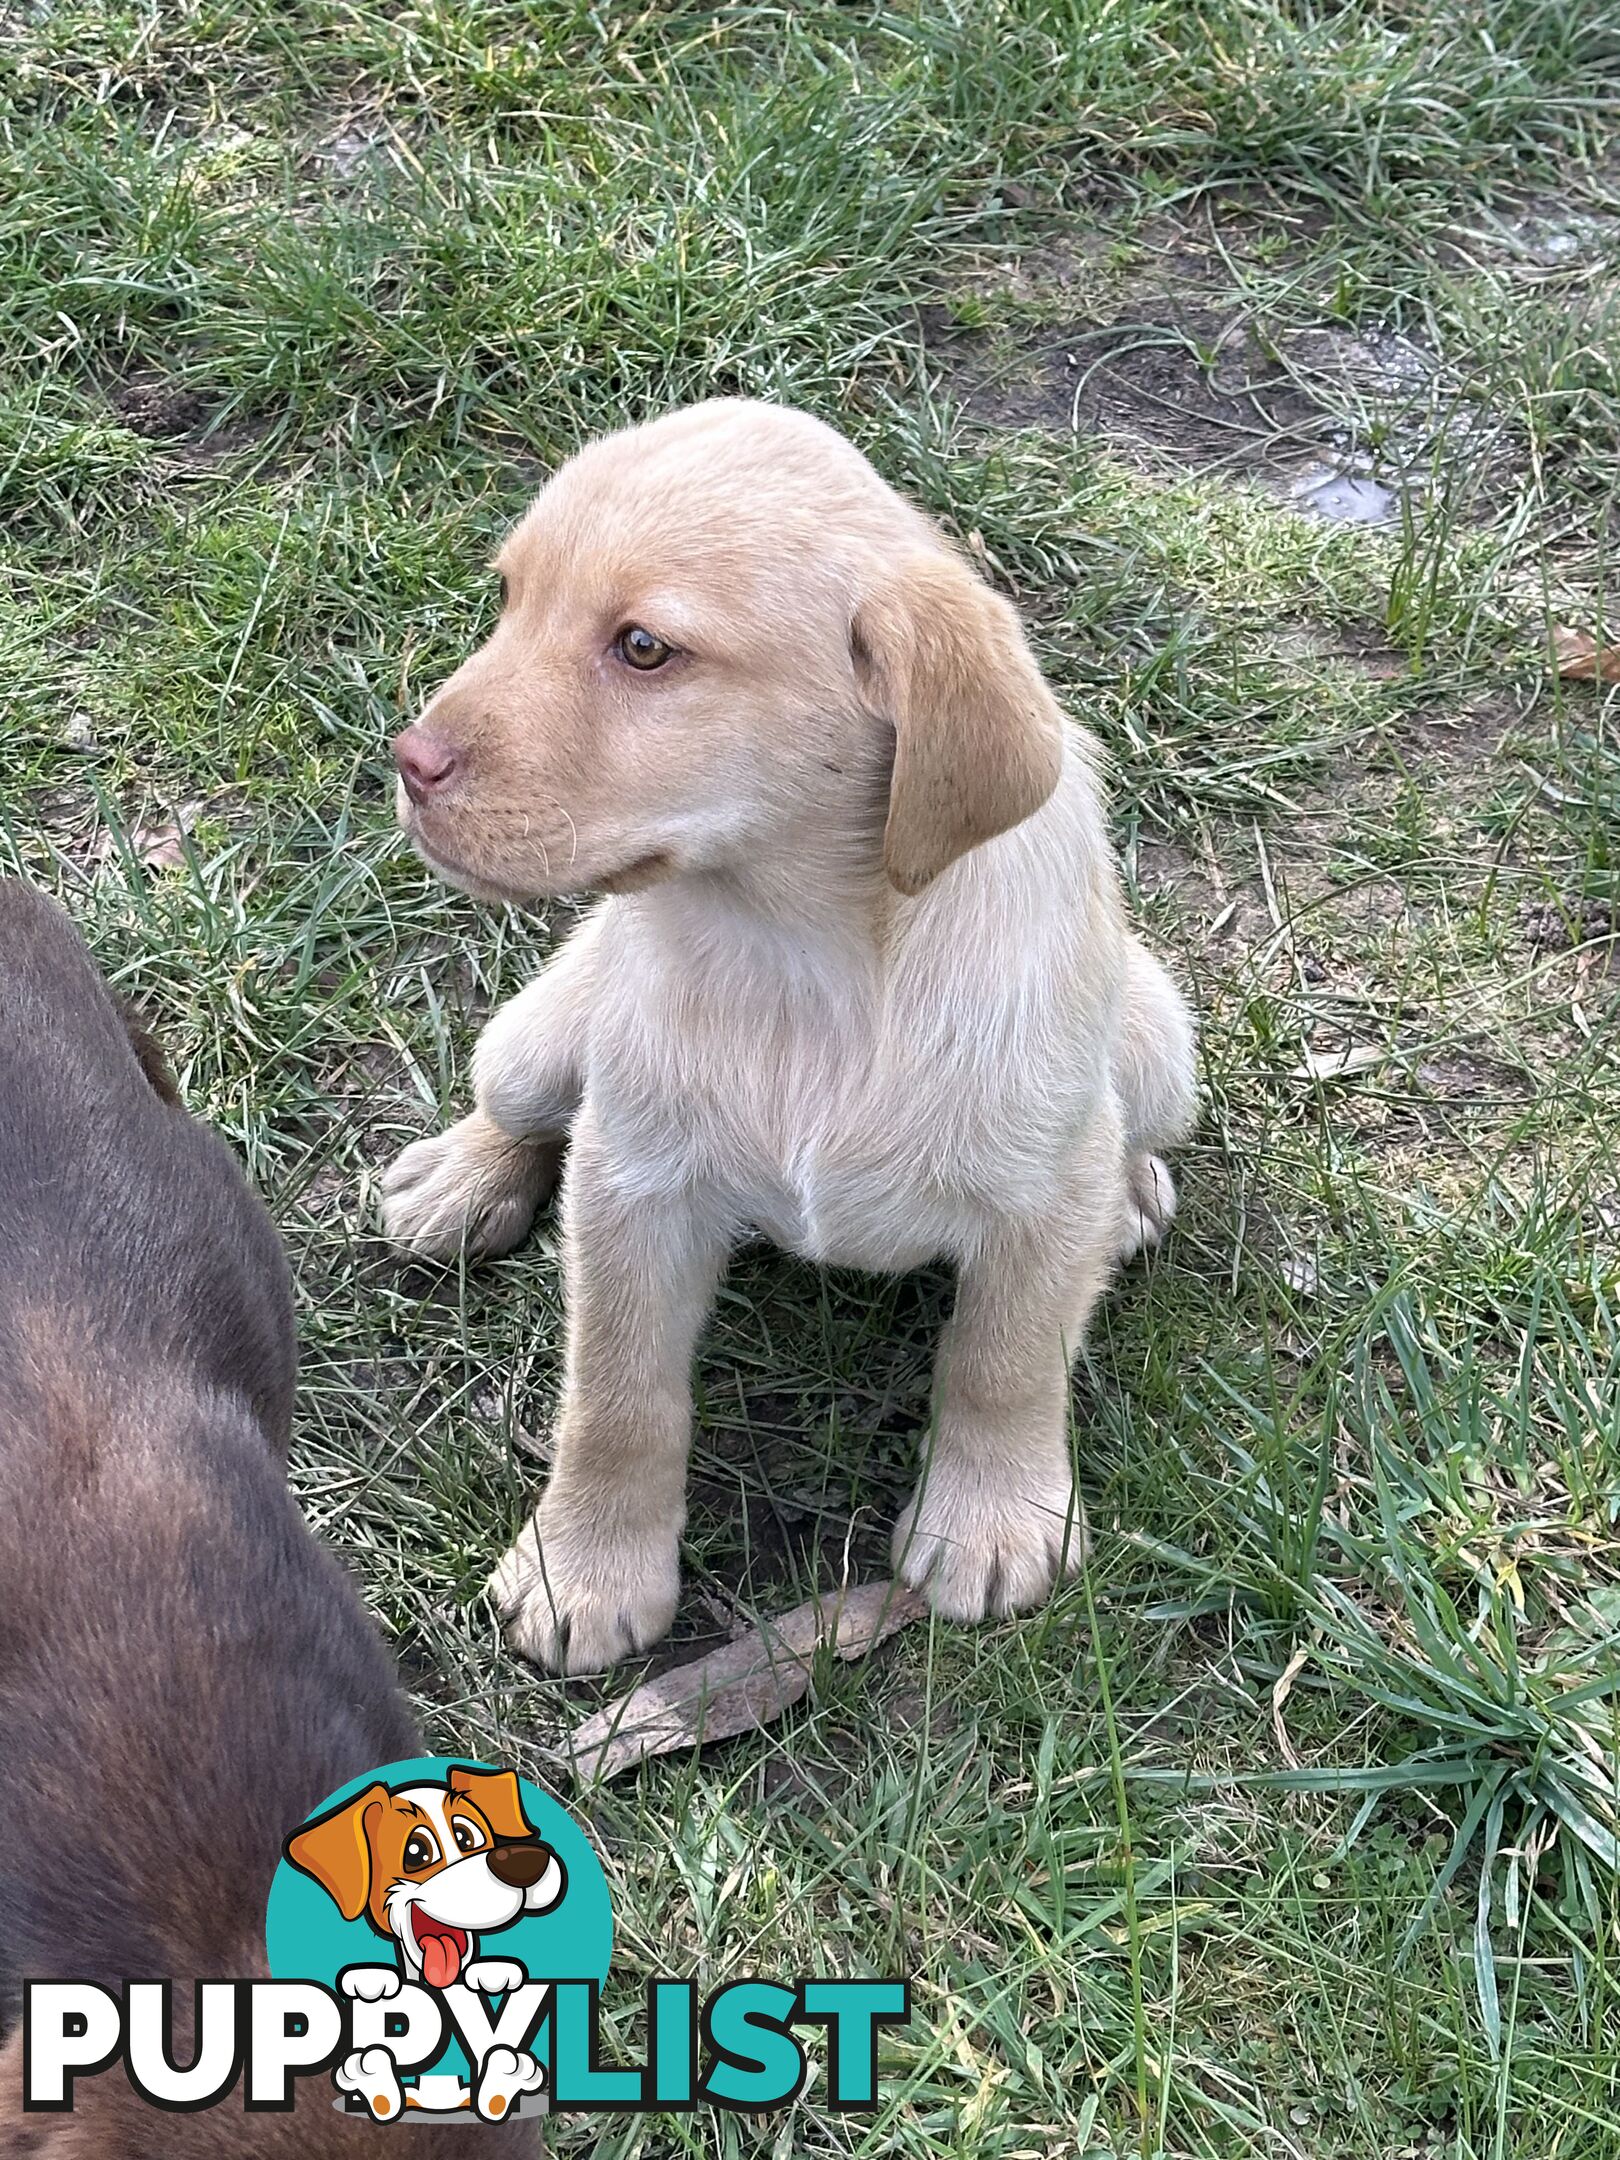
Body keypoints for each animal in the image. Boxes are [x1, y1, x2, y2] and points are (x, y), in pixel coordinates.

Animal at [378, 401, 1192, 1667]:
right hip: (539, 1035)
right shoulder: (635, 1182)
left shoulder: (1042, 1192)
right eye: (508, 600)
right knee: (517, 1107)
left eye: (644, 649)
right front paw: (584, 1569)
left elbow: (1004, 1362)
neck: (802, 955)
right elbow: (616, 1397)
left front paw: (992, 1521)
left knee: (1127, 1134)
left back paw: (1138, 1189)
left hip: (1159, 1047)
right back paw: (459, 1181)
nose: (408, 763)